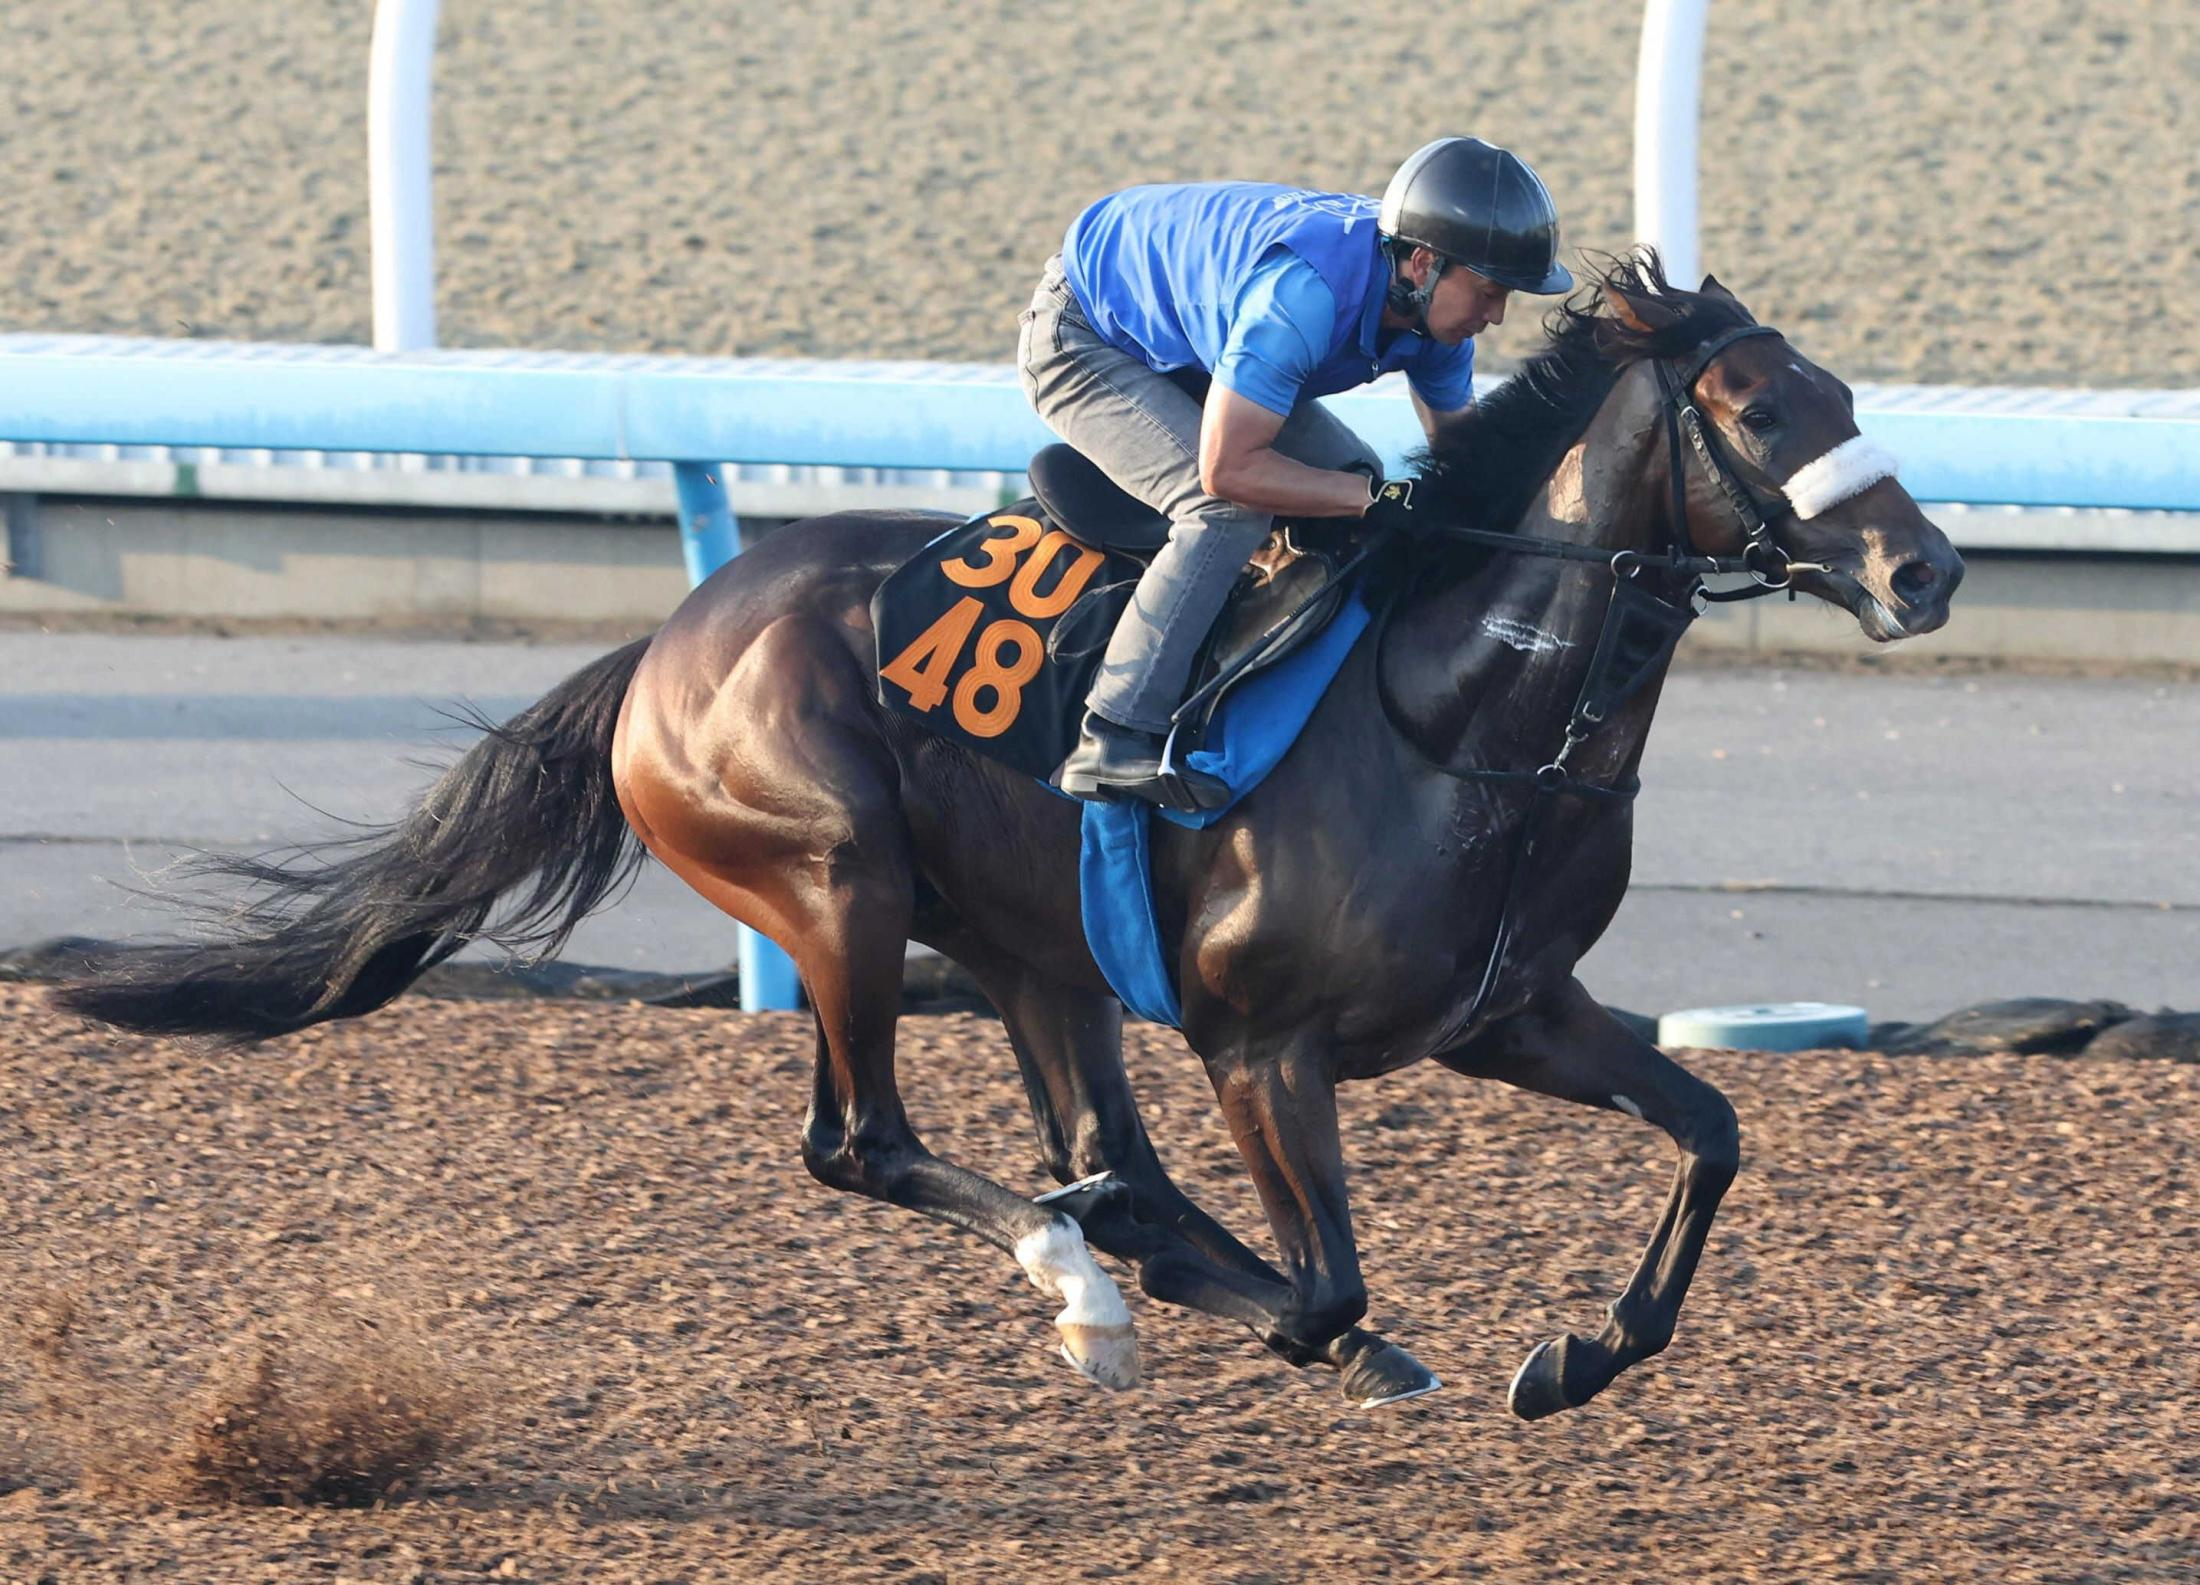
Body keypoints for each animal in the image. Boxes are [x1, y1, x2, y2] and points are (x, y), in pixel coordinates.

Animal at [64, 254, 1962, 1417]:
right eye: (1758, 406)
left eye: (1839, 387)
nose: (1925, 567)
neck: (1459, 720)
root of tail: (667, 643)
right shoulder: (1263, 1045)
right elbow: (1323, 1286)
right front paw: (1304, 1330)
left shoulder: (1505, 1015)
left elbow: (1712, 1129)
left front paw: (1575, 1354)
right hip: (835, 882)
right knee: (865, 1144)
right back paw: (1084, 1284)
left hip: (1037, 952)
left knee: (1101, 1156)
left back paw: (1116, 1253)